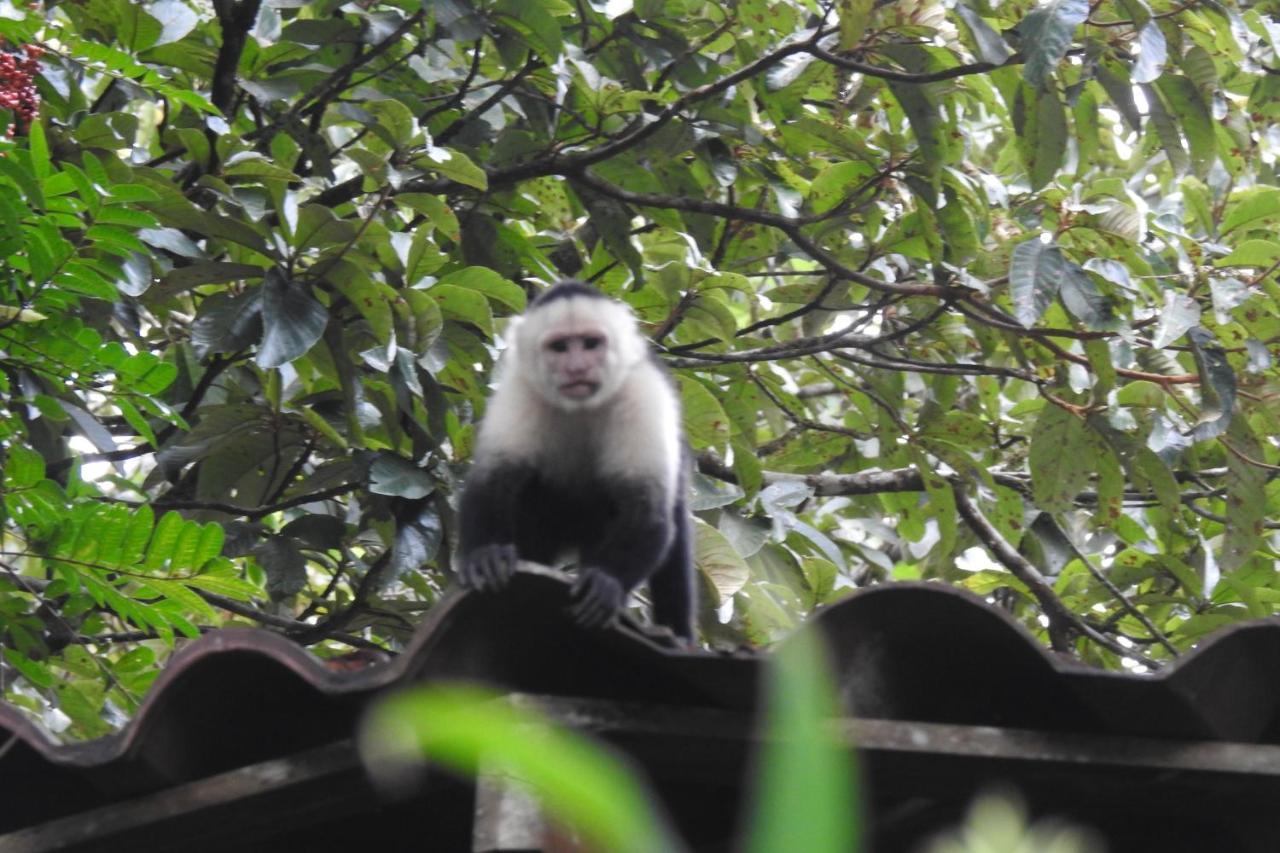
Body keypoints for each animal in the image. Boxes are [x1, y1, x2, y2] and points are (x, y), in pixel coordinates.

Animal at [455, 279, 696, 637]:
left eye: (591, 343)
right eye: (560, 347)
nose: (577, 368)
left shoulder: (642, 391)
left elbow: (646, 508)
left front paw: (606, 582)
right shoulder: (519, 389)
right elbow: (491, 482)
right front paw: (487, 554)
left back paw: (675, 633)